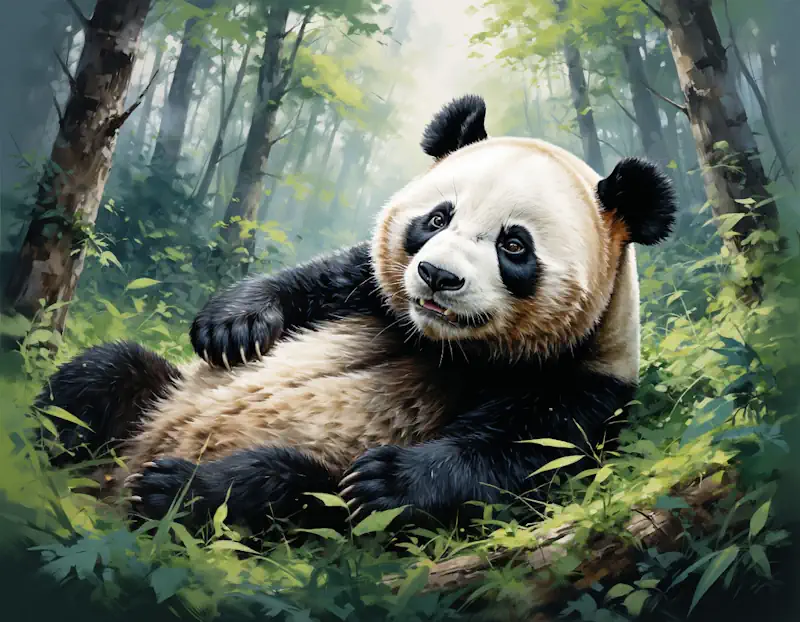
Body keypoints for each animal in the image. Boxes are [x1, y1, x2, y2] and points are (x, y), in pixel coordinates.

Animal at [37, 94, 677, 535]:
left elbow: (516, 463)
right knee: (100, 375)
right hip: (147, 397)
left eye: (513, 245)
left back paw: (177, 488)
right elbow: (316, 281)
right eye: (437, 218)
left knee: (297, 491)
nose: (437, 276)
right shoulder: (371, 297)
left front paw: (391, 481)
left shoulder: (581, 387)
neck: (442, 344)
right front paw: (232, 328)